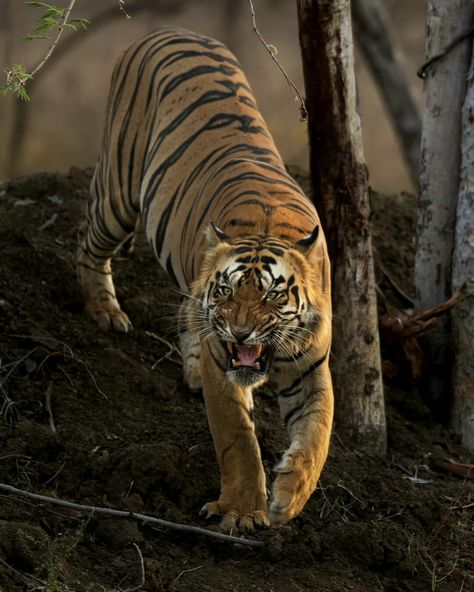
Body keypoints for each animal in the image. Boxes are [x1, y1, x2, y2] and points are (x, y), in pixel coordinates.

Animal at [77, 27, 334, 532]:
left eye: (273, 296)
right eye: (227, 290)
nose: (240, 332)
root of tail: (169, 31)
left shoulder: (313, 367)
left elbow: (318, 437)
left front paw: (289, 497)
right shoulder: (224, 364)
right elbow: (237, 439)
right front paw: (242, 512)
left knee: (182, 308)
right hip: (119, 191)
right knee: (87, 240)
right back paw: (104, 311)